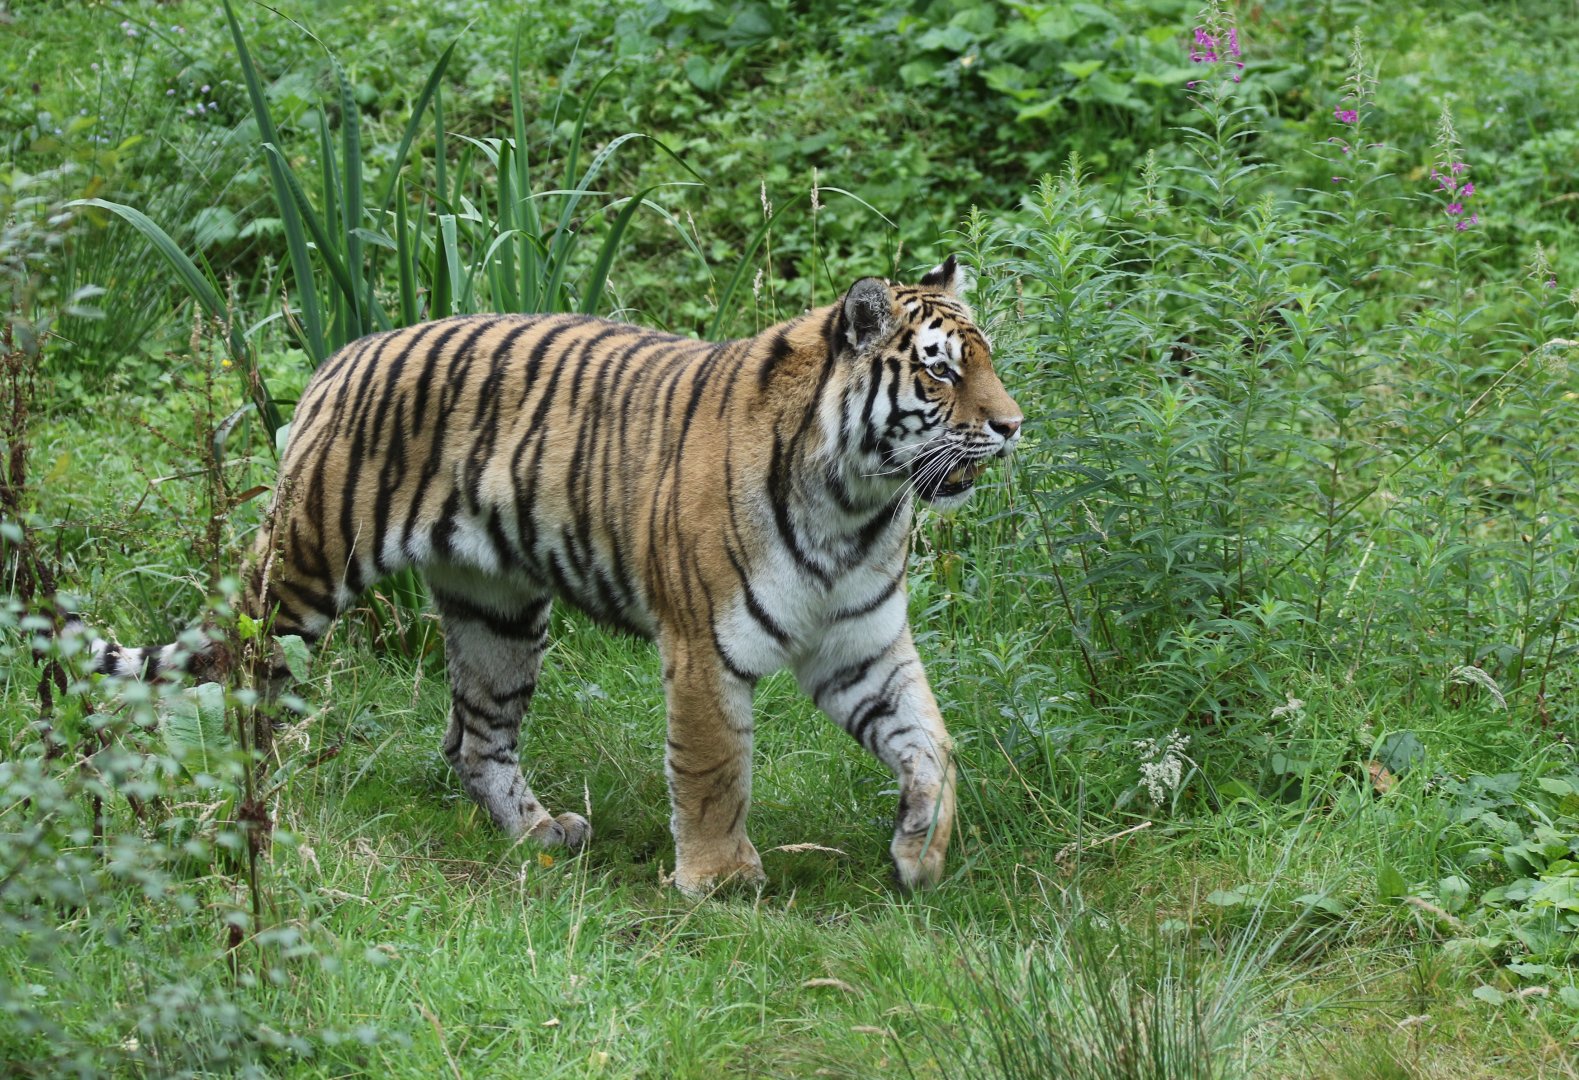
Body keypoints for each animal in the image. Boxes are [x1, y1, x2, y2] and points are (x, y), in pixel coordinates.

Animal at [80, 256, 1023, 894]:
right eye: (940, 369)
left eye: (986, 362)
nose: (1014, 426)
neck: (856, 503)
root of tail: (342, 354)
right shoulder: (704, 647)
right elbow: (714, 771)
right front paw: (719, 882)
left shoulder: (860, 644)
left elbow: (930, 742)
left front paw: (919, 850)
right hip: (307, 569)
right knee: (245, 677)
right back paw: (249, 793)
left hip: (496, 614)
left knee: (474, 740)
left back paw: (537, 833)